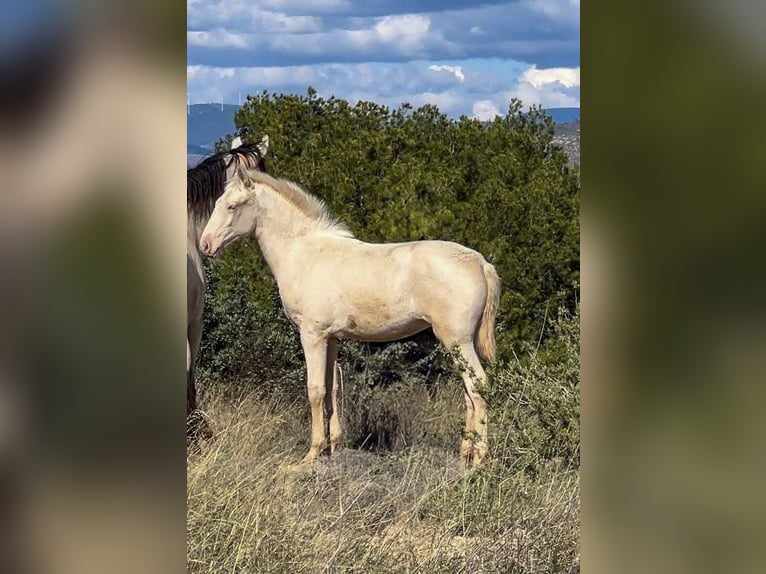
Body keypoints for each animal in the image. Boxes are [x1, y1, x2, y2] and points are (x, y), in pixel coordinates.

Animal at [196, 166, 504, 468]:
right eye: (218, 203)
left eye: (233, 206)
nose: (205, 245)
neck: (303, 253)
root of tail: (481, 263)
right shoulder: (331, 338)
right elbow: (332, 389)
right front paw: (333, 447)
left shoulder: (312, 335)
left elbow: (315, 390)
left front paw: (312, 454)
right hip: (457, 345)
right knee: (468, 392)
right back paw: (464, 453)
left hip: (457, 341)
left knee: (479, 387)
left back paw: (480, 457)